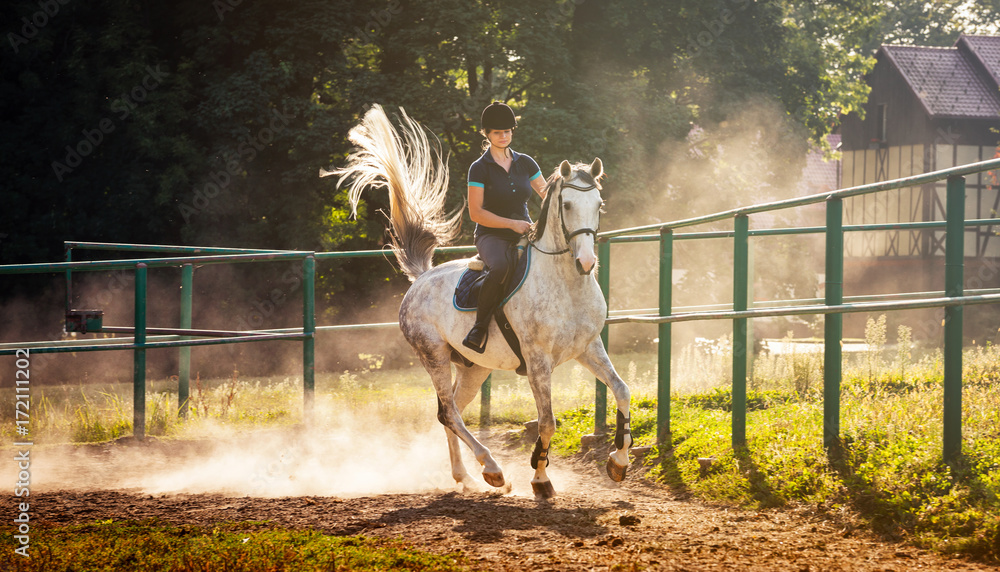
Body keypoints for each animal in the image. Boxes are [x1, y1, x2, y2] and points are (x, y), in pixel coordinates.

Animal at [324, 106, 628, 496]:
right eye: (567, 204)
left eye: (599, 204)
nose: (586, 262)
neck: (566, 285)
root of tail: (421, 279)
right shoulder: (538, 361)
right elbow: (547, 422)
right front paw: (540, 479)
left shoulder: (589, 348)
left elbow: (622, 391)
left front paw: (618, 462)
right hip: (434, 355)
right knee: (449, 412)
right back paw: (492, 470)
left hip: (474, 367)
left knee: (448, 410)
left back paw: (465, 477)